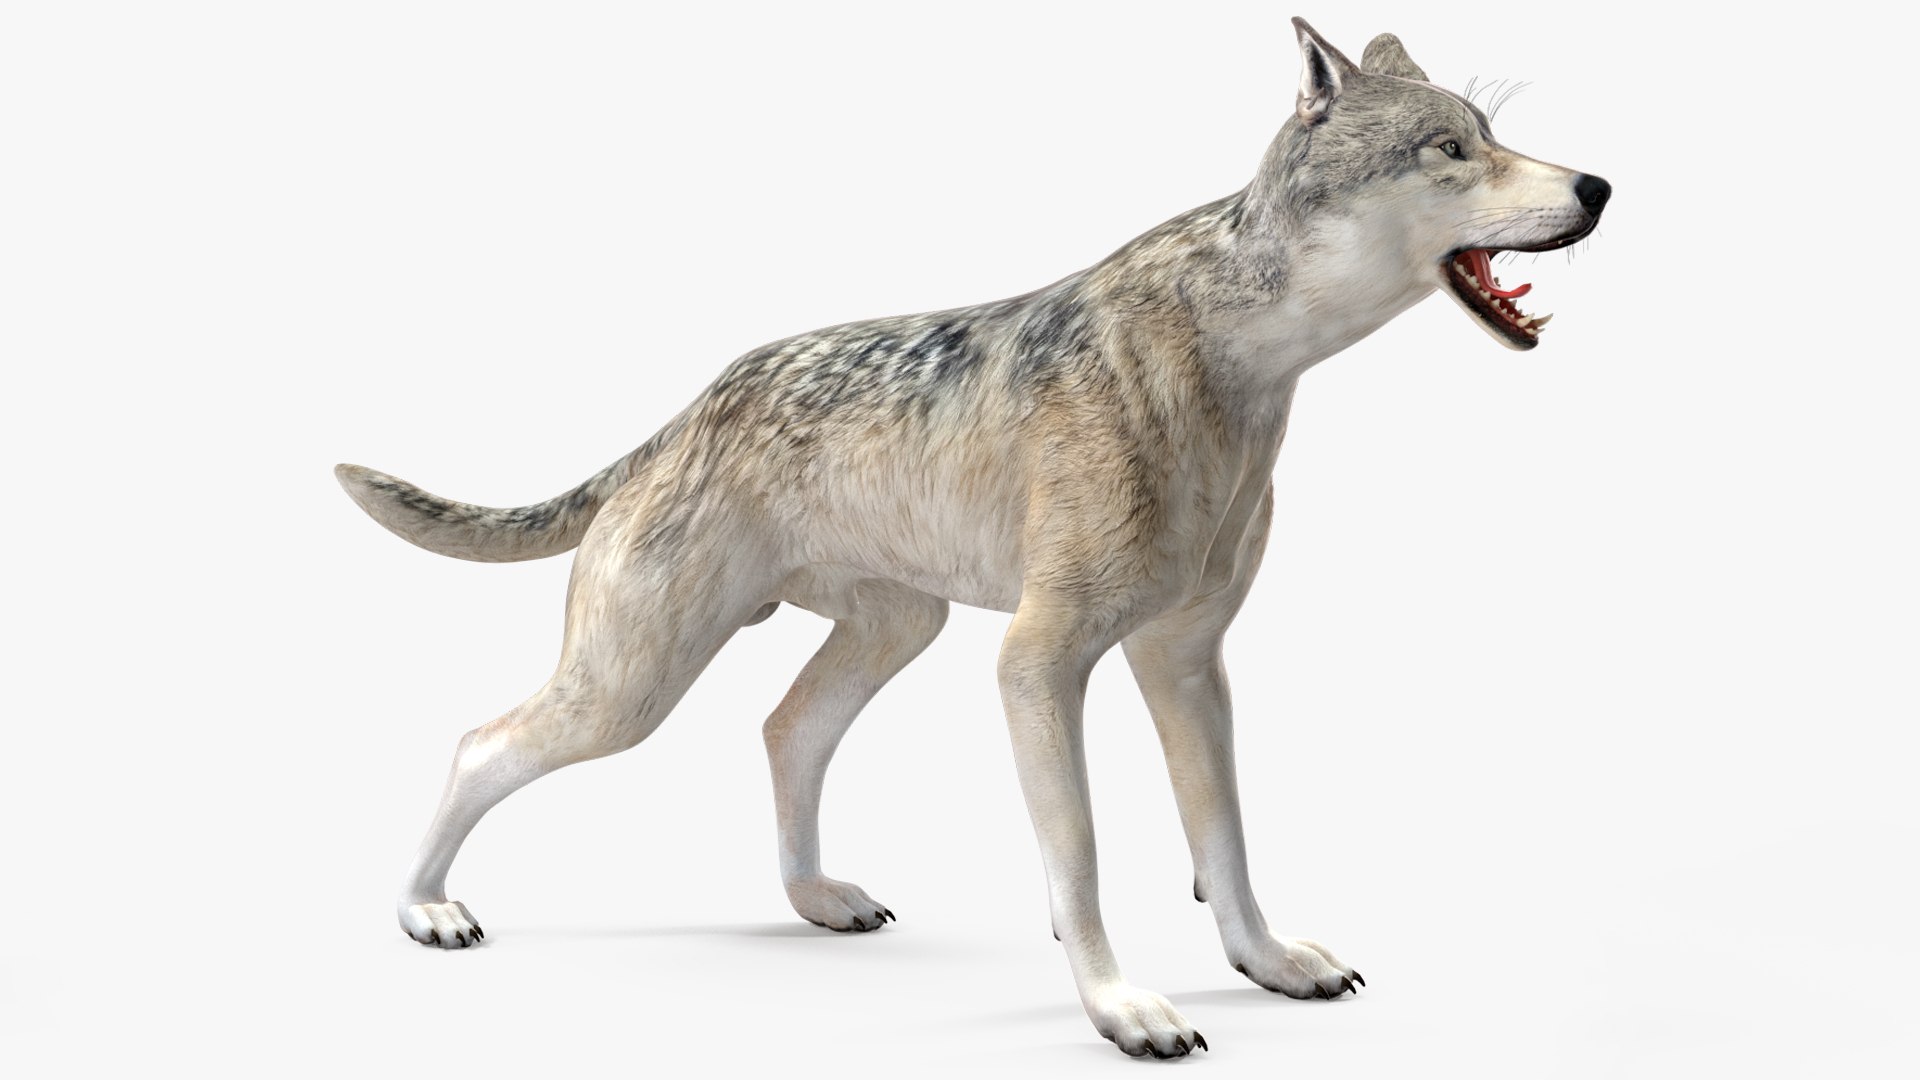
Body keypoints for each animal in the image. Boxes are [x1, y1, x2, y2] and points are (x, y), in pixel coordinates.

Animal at [336, 18, 1609, 1057]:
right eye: (1451, 150)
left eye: (1494, 133)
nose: (1599, 184)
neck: (1238, 360)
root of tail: (691, 409)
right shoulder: (1038, 664)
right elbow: (1083, 858)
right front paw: (1121, 1010)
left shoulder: (1186, 661)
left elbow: (1227, 842)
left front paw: (1269, 964)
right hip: (632, 688)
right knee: (480, 744)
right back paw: (425, 909)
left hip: (898, 631)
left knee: (783, 730)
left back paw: (818, 898)